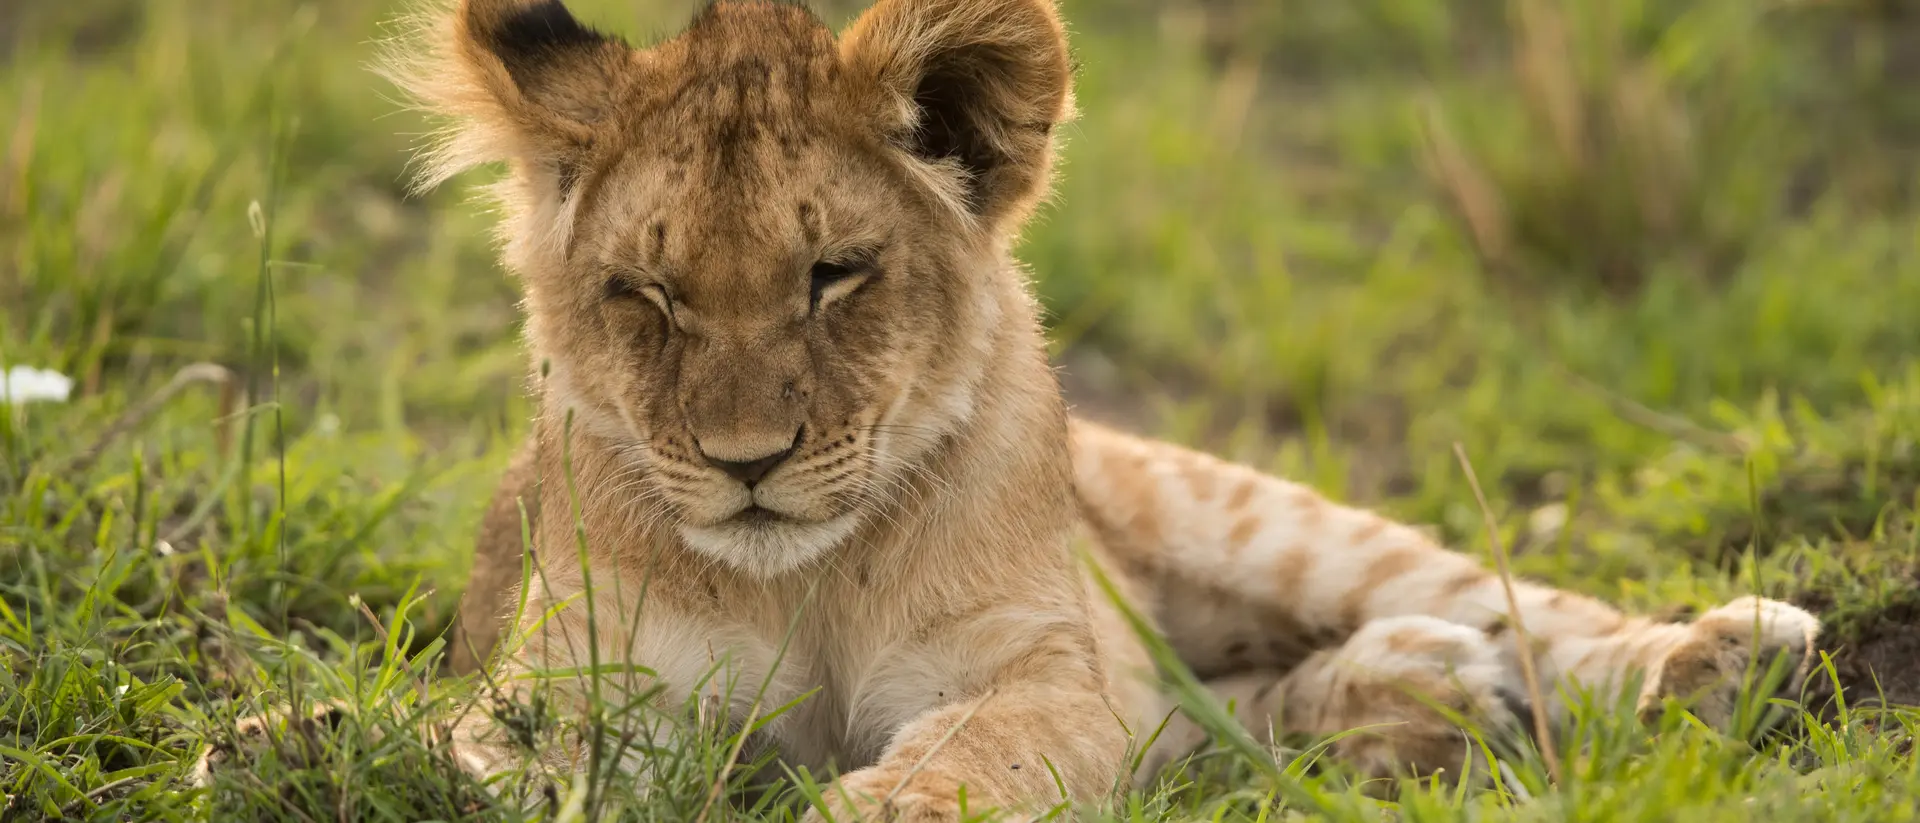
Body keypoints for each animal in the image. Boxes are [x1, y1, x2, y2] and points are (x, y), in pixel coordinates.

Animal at [380, 0, 1822, 818]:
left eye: (834, 273)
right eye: (647, 292)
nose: (747, 464)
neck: (803, 579)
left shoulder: (1037, 667)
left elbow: (977, 758)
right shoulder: (578, 680)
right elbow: (498, 750)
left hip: (1250, 517)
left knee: (1512, 602)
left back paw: (1718, 654)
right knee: (1222, 725)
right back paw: (1418, 690)